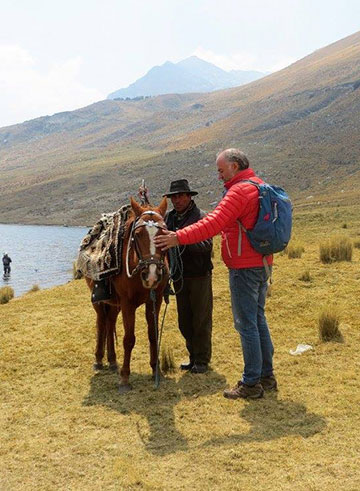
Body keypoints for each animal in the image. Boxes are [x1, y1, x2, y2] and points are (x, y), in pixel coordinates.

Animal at [86, 198, 169, 394]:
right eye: (137, 235)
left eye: (164, 232)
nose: (152, 274)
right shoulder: (127, 304)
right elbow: (129, 339)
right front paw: (124, 379)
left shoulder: (154, 300)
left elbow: (153, 334)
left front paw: (156, 371)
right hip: (100, 302)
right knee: (101, 323)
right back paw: (99, 360)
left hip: (114, 304)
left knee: (110, 322)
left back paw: (112, 360)